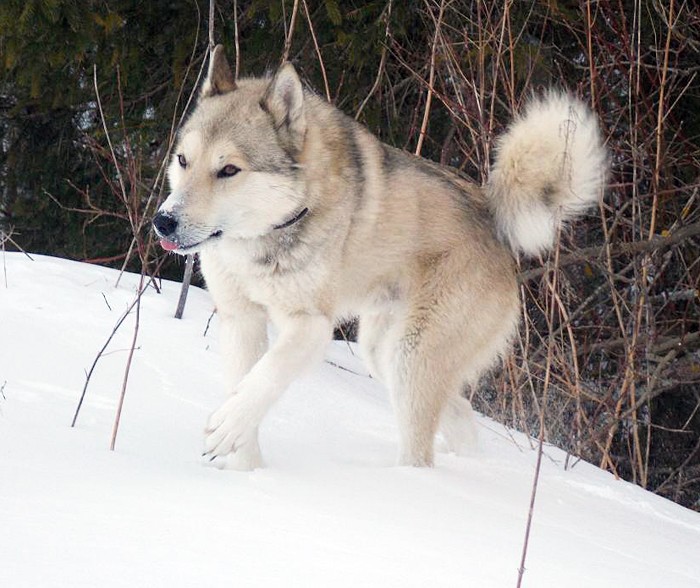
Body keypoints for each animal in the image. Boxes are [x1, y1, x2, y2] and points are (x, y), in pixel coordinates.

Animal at [153, 45, 607, 470]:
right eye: (183, 160)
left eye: (229, 170)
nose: (163, 222)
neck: (270, 230)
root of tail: (494, 220)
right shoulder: (239, 318)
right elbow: (244, 386)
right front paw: (247, 473)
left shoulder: (311, 325)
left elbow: (265, 377)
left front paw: (228, 427)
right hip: (383, 352)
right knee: (460, 414)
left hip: (412, 356)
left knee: (421, 449)